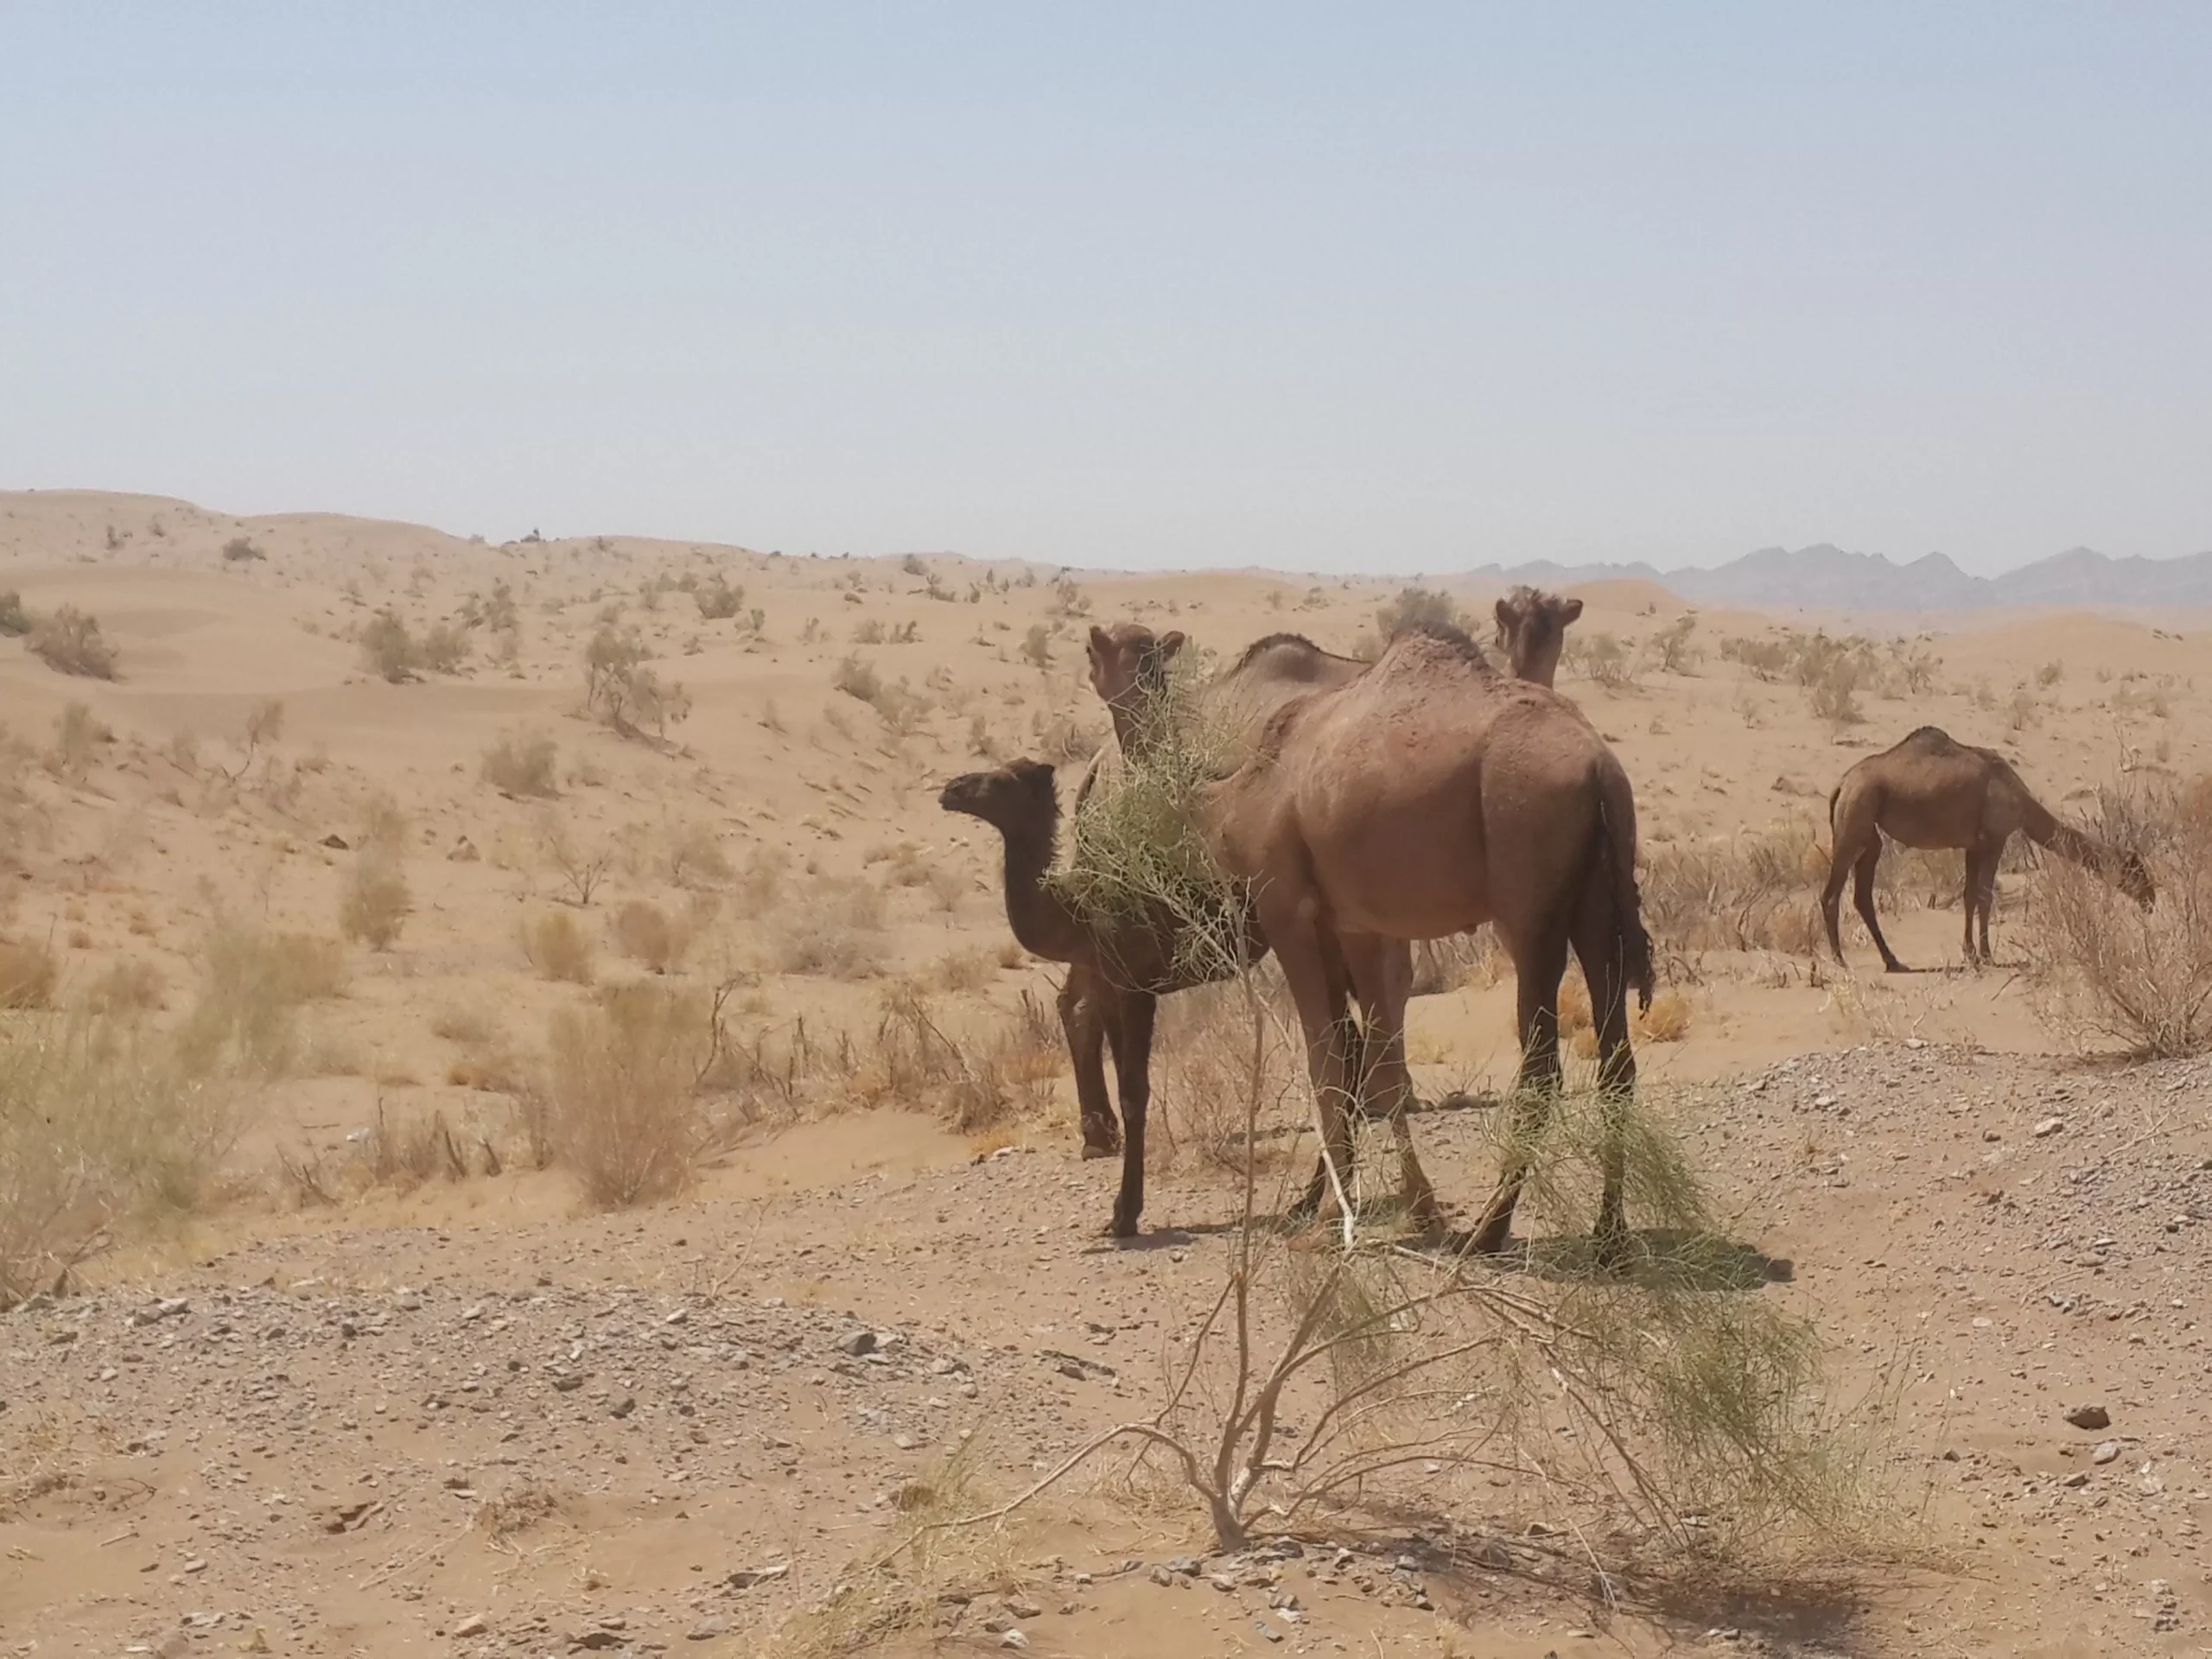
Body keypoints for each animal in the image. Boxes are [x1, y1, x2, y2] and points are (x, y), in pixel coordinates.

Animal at [942, 760, 1274, 1238]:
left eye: (1002, 780)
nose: (950, 789)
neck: (1075, 913)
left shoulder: (1136, 988)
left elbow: (1135, 1093)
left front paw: (1124, 1215)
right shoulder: (1111, 988)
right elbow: (1122, 1079)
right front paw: (1120, 1210)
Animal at [1203, 623, 1654, 1256]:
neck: (1240, 793)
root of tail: (1601, 772)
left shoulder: (1288, 909)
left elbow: (1327, 1065)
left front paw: (1326, 1225)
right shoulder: (1357, 925)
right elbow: (1377, 1064)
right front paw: (1415, 1212)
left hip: (1528, 894)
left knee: (1542, 1066)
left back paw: (1490, 1231)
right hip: (1599, 899)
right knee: (1617, 1063)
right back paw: (1608, 1238)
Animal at [1822, 725, 2150, 973]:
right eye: (2137, 871)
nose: (2151, 900)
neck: (2021, 802)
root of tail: (1841, 783)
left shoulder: (1974, 844)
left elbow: (1969, 896)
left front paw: (1971, 953)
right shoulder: (1996, 838)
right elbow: (1985, 895)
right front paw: (1988, 955)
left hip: (1869, 834)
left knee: (1862, 895)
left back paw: (1893, 961)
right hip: (1855, 816)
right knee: (1831, 895)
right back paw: (1840, 961)